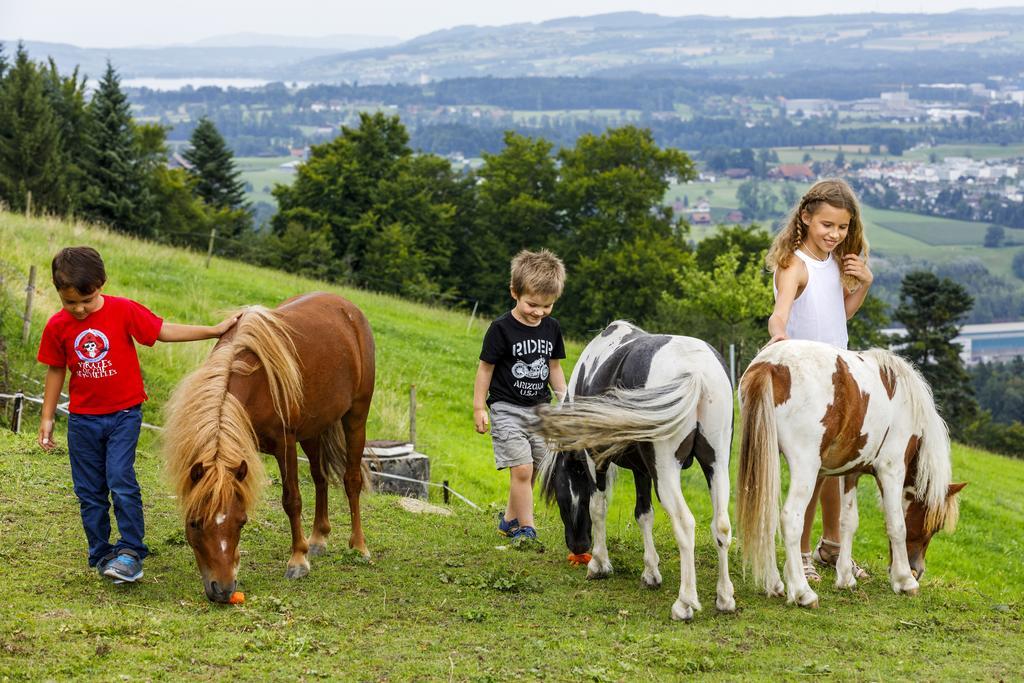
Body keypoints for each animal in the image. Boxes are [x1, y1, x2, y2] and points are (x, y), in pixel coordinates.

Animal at [163, 290, 376, 602]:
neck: (255, 376)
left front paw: (298, 561)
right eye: (195, 523)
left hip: (355, 418)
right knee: (320, 478)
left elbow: (292, 500)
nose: (223, 589)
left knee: (351, 480)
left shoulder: (284, 444)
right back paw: (319, 537)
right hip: (312, 430)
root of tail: (348, 308)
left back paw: (359, 546)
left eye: (241, 522)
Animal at [536, 321, 737, 618]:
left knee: (685, 524)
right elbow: (644, 514)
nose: (578, 546)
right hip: (716, 464)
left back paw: (685, 602)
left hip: (667, 472)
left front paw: (599, 564)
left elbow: (598, 506)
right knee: (721, 525)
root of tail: (697, 371)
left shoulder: (595, 459)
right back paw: (724, 598)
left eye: (559, 497)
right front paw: (651, 572)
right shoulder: (642, 471)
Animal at [737, 342, 958, 610]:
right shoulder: (891, 469)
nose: (918, 570)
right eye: (934, 526)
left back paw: (775, 585)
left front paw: (845, 577)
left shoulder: (852, 472)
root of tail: (770, 364)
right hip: (805, 466)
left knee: (766, 516)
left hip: (767, 455)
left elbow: (848, 521)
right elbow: (897, 525)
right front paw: (905, 580)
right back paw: (802, 591)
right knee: (790, 519)